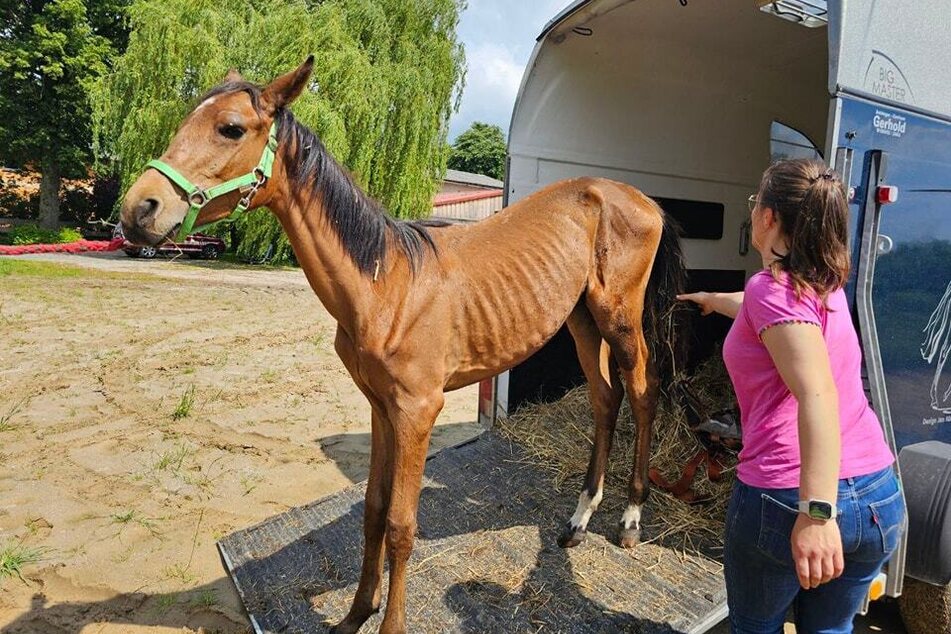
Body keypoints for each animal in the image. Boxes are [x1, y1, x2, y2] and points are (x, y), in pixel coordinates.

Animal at [121, 56, 684, 628]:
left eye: (231, 128)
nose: (139, 209)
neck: (385, 285)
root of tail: (643, 200)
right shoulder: (381, 407)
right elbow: (373, 510)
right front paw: (356, 612)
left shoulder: (418, 411)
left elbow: (401, 524)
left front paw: (388, 622)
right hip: (582, 320)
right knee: (604, 399)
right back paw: (578, 521)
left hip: (619, 319)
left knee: (642, 393)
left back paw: (630, 520)